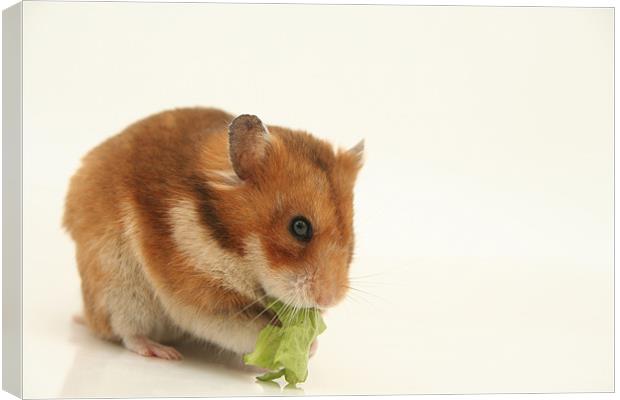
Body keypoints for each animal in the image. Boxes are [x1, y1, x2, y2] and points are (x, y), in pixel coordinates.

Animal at [63, 107, 364, 360]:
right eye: (299, 227)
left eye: (351, 236)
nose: (330, 299)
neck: (233, 248)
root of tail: (87, 315)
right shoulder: (201, 296)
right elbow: (246, 328)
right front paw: (300, 345)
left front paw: (311, 344)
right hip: (118, 288)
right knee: (127, 333)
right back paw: (164, 352)